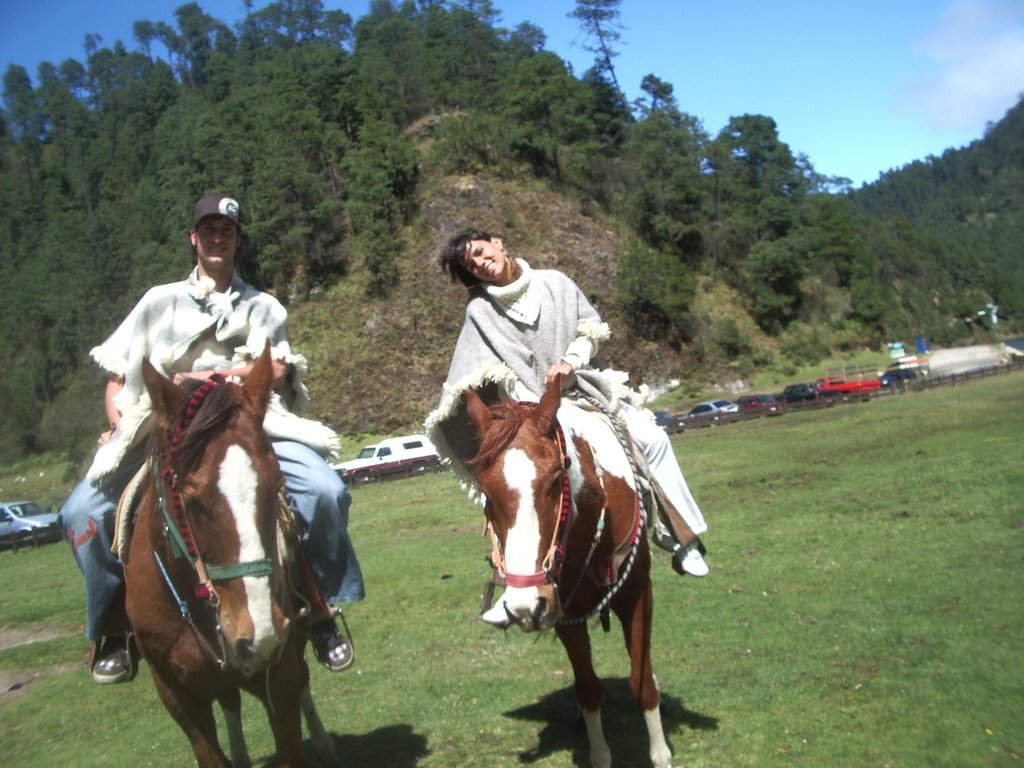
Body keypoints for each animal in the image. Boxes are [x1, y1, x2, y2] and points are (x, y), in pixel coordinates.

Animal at [123, 348, 337, 768]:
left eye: (277, 485)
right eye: (190, 499)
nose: (259, 633)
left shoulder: (280, 679)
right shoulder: (179, 698)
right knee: (230, 702)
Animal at [464, 376, 671, 768]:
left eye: (554, 480)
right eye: (485, 492)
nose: (524, 606)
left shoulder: (638, 593)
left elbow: (642, 682)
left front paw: (661, 754)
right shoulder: (563, 612)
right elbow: (588, 690)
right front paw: (599, 753)